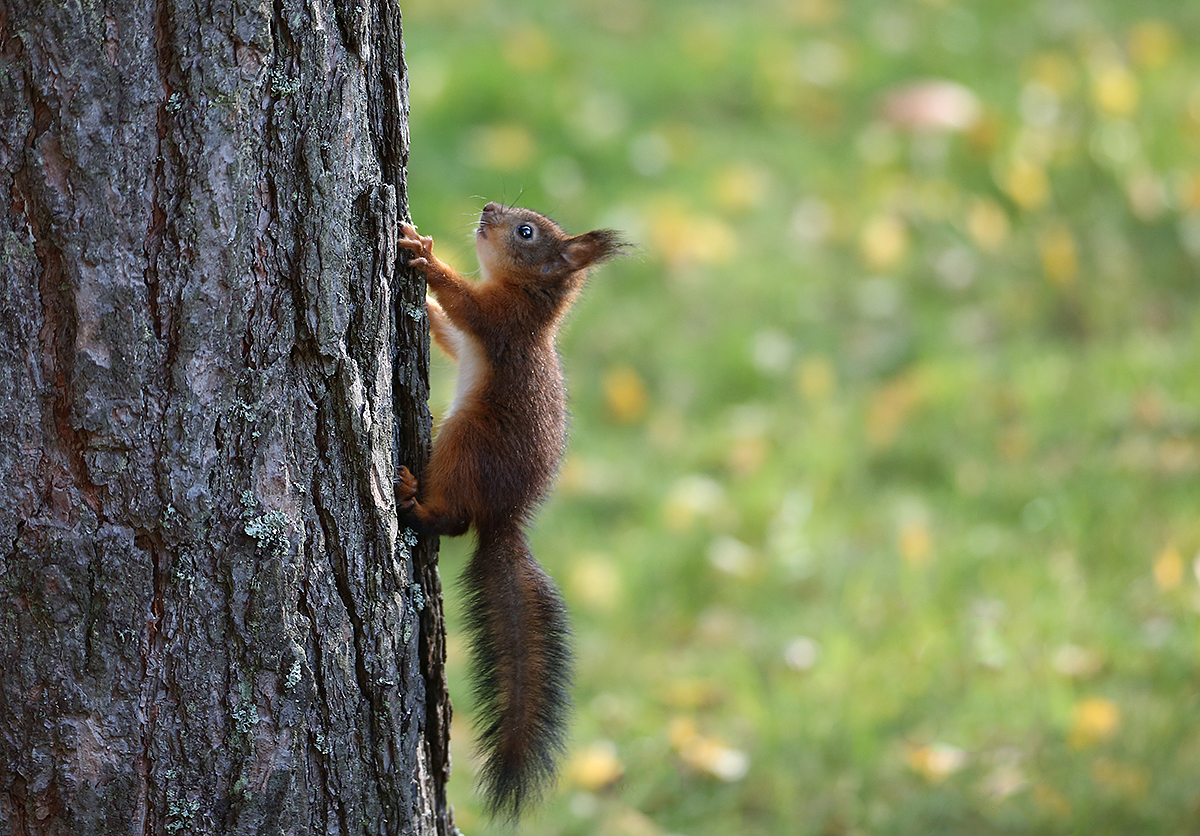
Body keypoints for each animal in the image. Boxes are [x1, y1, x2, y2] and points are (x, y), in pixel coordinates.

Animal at [398, 203, 628, 820]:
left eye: (526, 232)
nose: (487, 209)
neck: (527, 298)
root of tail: (505, 518)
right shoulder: (477, 333)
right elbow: (449, 331)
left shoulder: (500, 322)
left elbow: (464, 304)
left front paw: (424, 257)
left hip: (464, 444)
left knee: (454, 520)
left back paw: (412, 502)